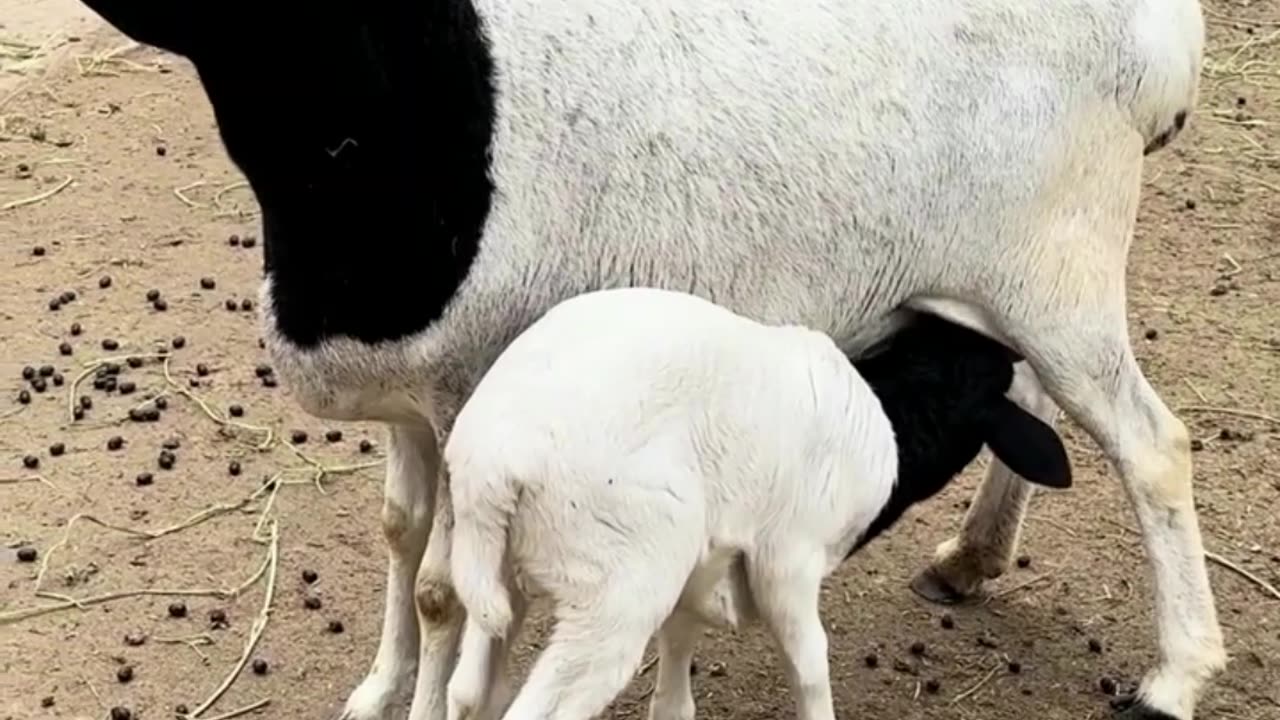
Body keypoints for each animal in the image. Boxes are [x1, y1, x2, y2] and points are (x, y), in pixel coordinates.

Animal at [442, 287, 1074, 720]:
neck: (893, 412)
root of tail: (489, 468)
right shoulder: (787, 560)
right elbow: (811, 665)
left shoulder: (699, 571)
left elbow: (676, 679)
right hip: (616, 590)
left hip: (507, 579)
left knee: (470, 692)